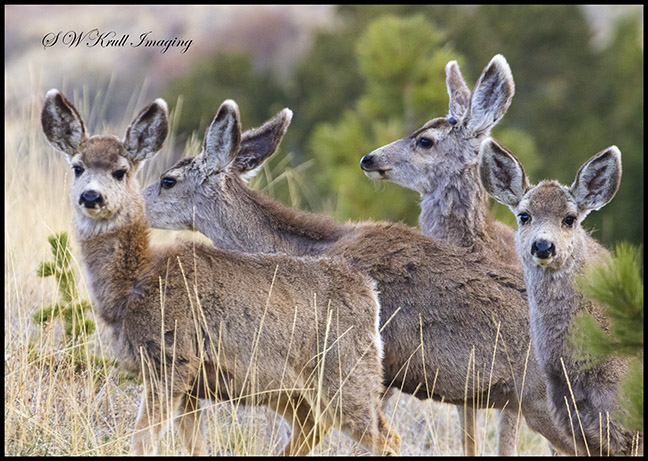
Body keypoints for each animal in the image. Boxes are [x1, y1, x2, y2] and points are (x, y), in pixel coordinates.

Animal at [40, 89, 402, 457]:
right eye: (77, 167)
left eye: (121, 171)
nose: (92, 196)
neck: (136, 280)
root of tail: (367, 291)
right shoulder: (190, 384)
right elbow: (195, 444)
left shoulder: (172, 360)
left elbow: (142, 440)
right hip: (289, 388)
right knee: (315, 427)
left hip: (346, 375)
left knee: (387, 437)